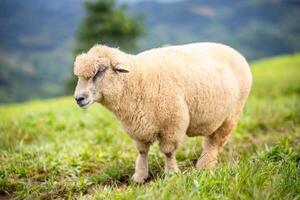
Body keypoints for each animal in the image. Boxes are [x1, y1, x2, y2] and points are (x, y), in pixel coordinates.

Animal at [73, 42, 253, 183]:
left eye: (100, 70)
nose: (79, 98)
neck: (137, 80)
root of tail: (234, 51)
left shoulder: (172, 124)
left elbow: (168, 152)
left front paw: (171, 173)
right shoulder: (138, 127)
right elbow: (142, 152)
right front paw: (140, 176)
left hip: (232, 114)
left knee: (215, 142)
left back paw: (205, 166)